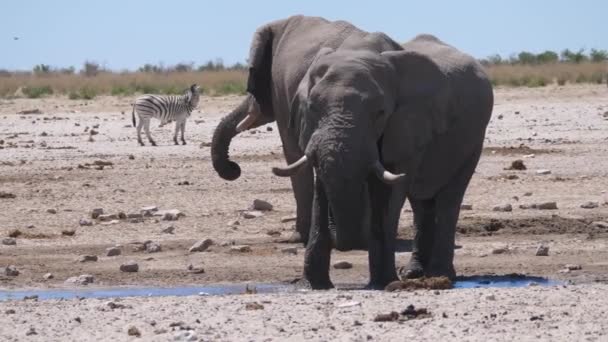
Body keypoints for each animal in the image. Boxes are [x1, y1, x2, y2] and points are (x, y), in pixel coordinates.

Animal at [272, 33, 494, 288]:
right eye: (312, 107)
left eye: (379, 113)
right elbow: (321, 189)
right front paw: (313, 286)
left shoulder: (407, 126)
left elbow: (390, 190)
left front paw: (384, 284)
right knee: (421, 204)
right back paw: (414, 273)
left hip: (474, 140)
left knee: (450, 199)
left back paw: (440, 275)